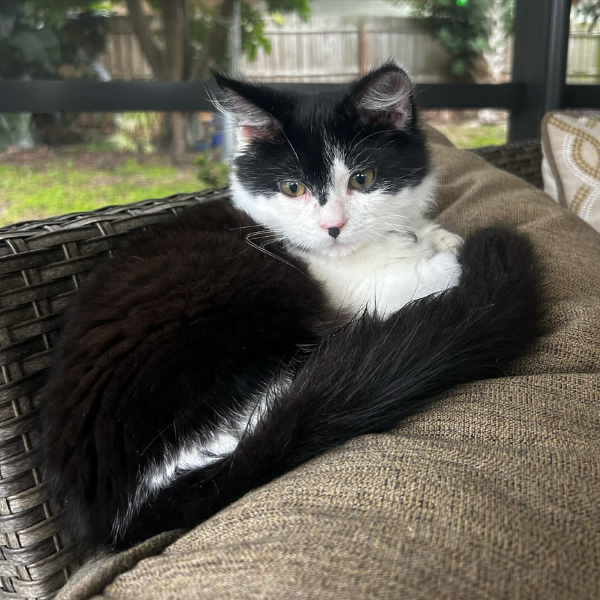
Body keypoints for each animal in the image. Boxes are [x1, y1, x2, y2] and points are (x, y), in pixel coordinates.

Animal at [39, 63, 540, 556]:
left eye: (362, 179)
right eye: (292, 187)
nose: (333, 227)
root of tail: (129, 511)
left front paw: (435, 236)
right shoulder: (353, 293)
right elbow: (419, 277)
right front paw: (448, 255)